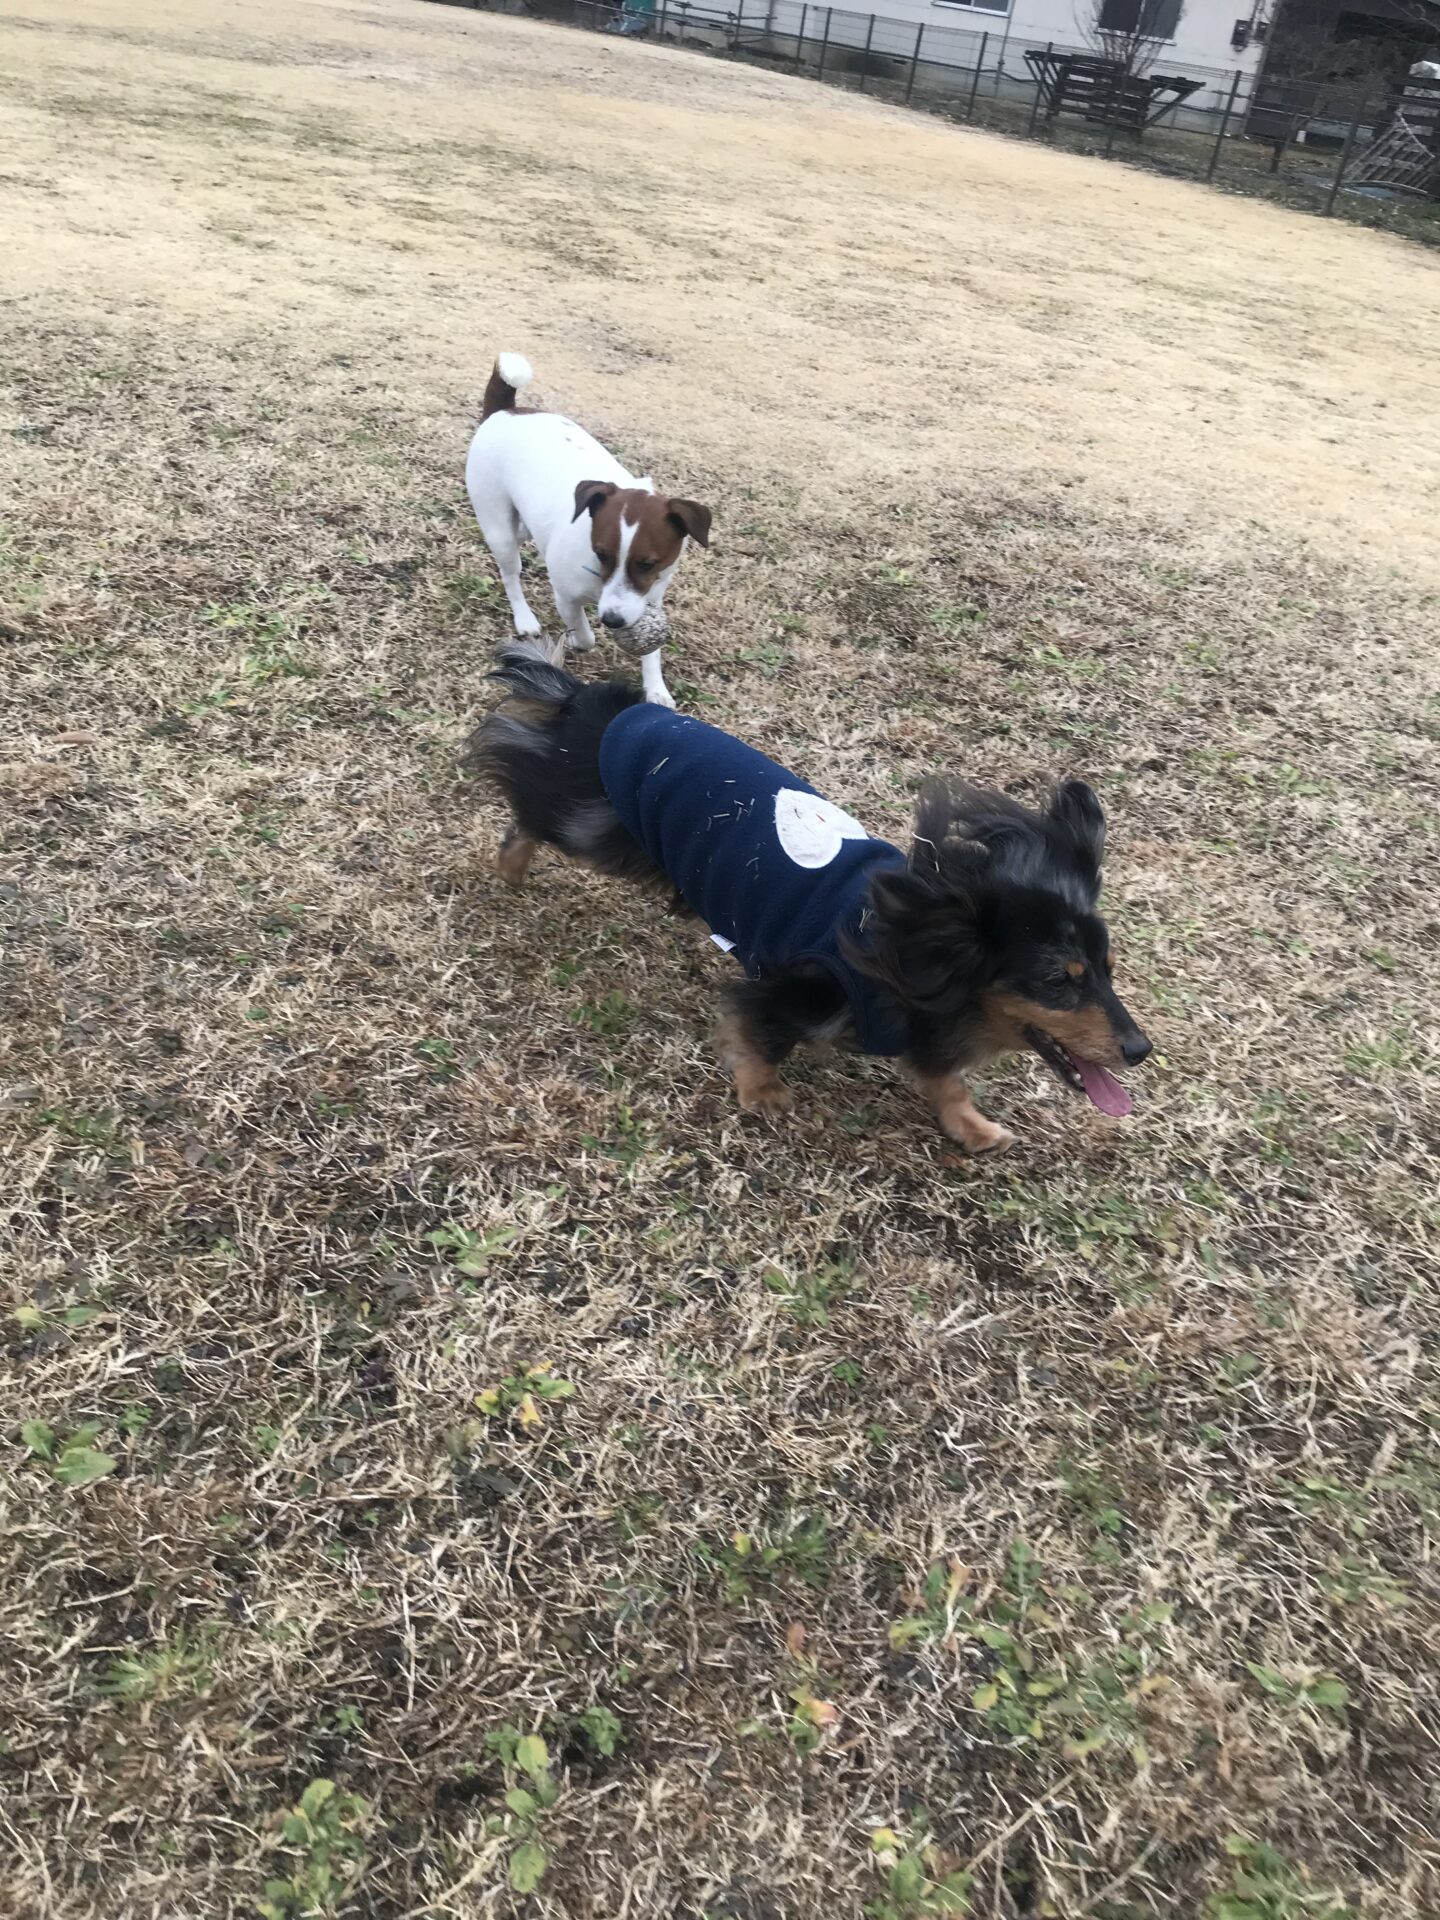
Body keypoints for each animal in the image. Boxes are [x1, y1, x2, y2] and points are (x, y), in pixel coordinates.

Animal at [464, 353, 712, 709]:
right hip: (499, 527)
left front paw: (656, 687)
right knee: (510, 573)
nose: (612, 620)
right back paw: (524, 617)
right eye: (600, 553)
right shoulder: (566, 596)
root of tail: (504, 411)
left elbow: (651, 649)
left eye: (648, 564)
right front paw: (578, 641)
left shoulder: (649, 598)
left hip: (523, 524)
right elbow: (584, 633)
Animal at [466, 647, 1153, 1151]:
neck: (914, 944)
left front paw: (972, 1128)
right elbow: (757, 1032)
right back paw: (508, 865)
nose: (1141, 1051)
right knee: (529, 807)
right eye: (1059, 981)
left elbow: (944, 1081)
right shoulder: (794, 987)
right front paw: (761, 1093)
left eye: (1109, 973)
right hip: (592, 823)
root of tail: (605, 703)